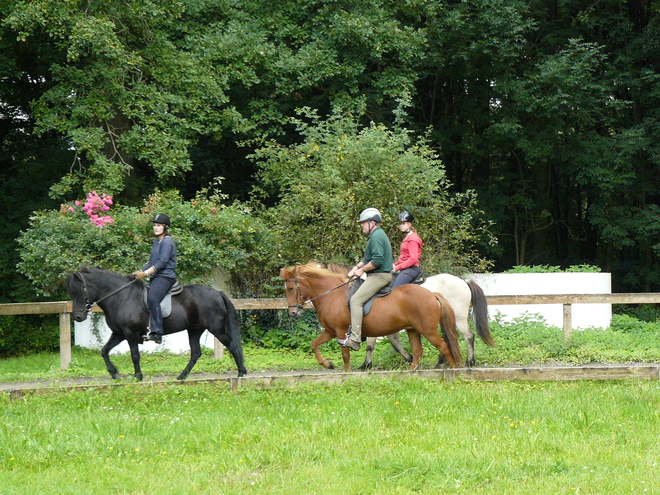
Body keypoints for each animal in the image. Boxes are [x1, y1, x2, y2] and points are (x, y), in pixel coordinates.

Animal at [67, 268, 248, 380]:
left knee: (232, 346)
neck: (121, 297)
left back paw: (241, 373)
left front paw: (138, 376)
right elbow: (104, 351)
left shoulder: (130, 334)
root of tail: (217, 292)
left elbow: (135, 356)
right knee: (196, 352)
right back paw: (181, 376)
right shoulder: (119, 333)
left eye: (80, 291)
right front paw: (115, 374)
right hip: (195, 330)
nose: (78, 317)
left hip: (217, 329)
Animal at [282, 264, 462, 372]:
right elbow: (315, 344)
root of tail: (432, 294)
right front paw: (328, 364)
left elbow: (346, 355)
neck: (332, 295)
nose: (293, 313)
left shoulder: (341, 332)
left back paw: (454, 371)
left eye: (291, 288)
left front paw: (347, 374)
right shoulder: (330, 331)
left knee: (444, 346)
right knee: (418, 352)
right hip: (413, 330)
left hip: (428, 330)